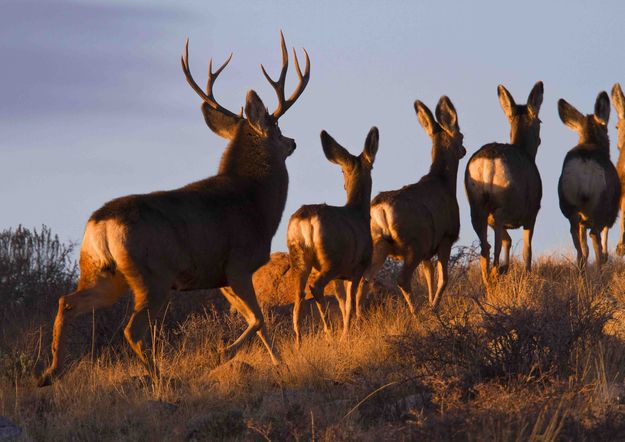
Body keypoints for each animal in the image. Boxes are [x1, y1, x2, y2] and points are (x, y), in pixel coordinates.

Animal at [37, 33, 308, 386]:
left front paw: (280, 363)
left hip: (102, 272)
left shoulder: (219, 277)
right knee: (133, 330)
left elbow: (258, 322)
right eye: (276, 127)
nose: (292, 142)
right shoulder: (238, 264)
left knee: (66, 302)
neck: (256, 203)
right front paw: (222, 353)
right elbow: (259, 319)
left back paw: (50, 372)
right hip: (153, 276)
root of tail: (101, 223)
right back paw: (159, 377)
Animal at [286, 128, 378, 346]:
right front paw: (347, 334)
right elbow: (351, 302)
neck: (360, 213)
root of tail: (305, 219)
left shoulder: (341, 276)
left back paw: (299, 342)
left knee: (298, 296)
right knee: (315, 287)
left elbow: (343, 302)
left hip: (298, 256)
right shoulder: (358, 267)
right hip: (331, 258)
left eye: (342, 170)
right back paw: (329, 333)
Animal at [356, 98, 464, 316]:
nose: (464, 151)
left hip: (379, 243)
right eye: (462, 136)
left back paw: (356, 319)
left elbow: (429, 277)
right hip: (413, 243)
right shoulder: (446, 237)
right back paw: (416, 314)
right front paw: (434, 308)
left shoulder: (428, 250)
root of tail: (380, 209)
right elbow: (443, 278)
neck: (444, 182)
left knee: (364, 280)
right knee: (402, 279)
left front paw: (431, 305)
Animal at [464, 82, 540, 286]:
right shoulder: (532, 213)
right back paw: (497, 271)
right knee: (497, 233)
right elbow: (527, 251)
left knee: (485, 249)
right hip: (509, 201)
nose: (539, 140)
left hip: (475, 206)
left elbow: (508, 240)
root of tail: (488, 161)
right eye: (540, 122)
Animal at [556, 91, 620, 268]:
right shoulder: (611, 213)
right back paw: (599, 268)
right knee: (595, 235)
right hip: (601, 205)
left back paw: (581, 267)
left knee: (577, 237)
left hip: (569, 206)